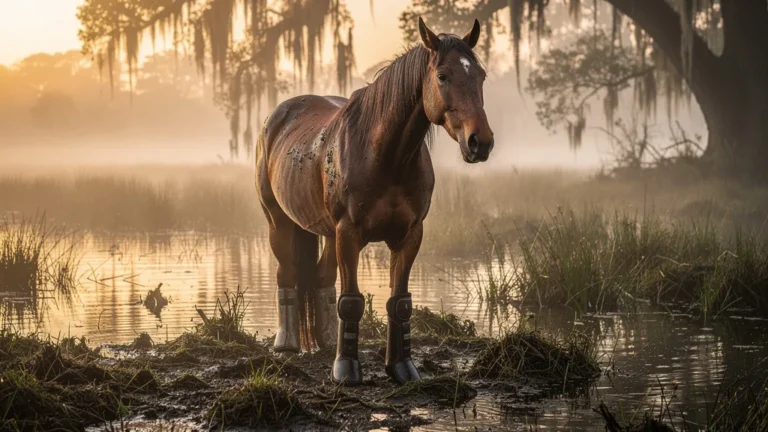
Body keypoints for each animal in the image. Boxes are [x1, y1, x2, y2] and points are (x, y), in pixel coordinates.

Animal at [255, 17, 494, 385]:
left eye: (480, 75)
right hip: (279, 223)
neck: (386, 156)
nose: (480, 142)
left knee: (322, 279)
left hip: (327, 233)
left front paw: (402, 368)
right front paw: (346, 370)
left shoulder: (410, 235)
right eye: (443, 76)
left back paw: (327, 342)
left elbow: (400, 302)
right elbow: (351, 301)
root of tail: (277, 118)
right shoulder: (349, 234)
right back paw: (287, 346)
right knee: (287, 275)